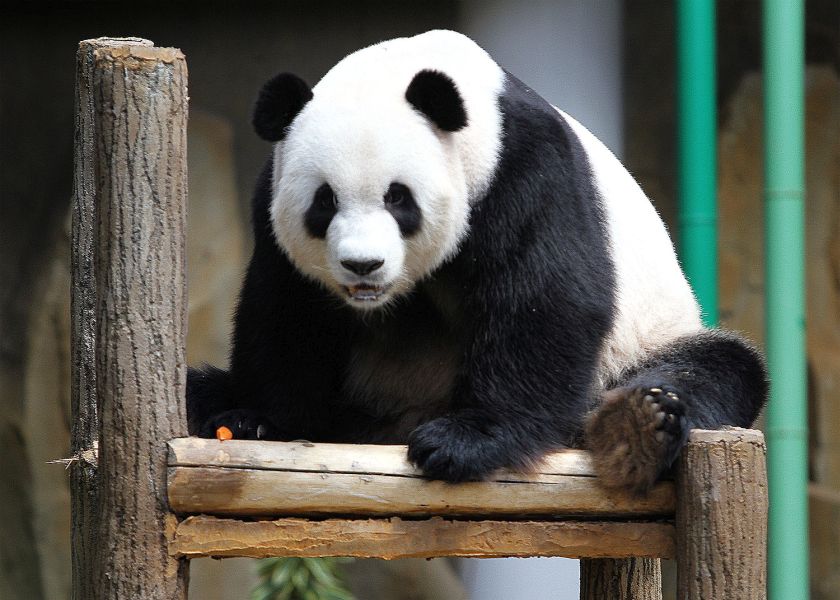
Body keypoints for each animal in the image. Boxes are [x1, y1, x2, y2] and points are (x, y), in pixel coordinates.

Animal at [187, 30, 767, 495]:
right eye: (324, 202)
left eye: (398, 198)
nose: (362, 265)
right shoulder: (272, 197)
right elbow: (287, 311)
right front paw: (258, 419)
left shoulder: (523, 169)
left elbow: (545, 301)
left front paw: (462, 443)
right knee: (200, 386)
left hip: (643, 345)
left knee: (717, 369)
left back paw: (640, 424)